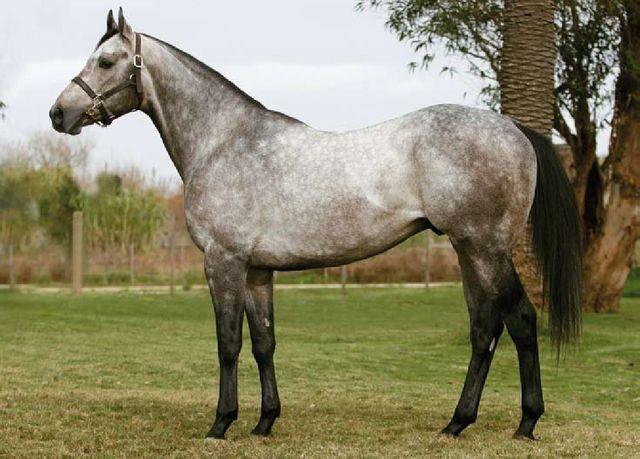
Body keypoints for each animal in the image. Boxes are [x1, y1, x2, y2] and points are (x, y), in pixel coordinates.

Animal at [50, 8, 582, 441]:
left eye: (106, 61)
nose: (59, 113)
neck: (223, 142)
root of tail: (512, 127)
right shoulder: (257, 271)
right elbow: (264, 343)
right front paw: (265, 422)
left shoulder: (223, 262)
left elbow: (228, 343)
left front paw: (221, 423)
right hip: (467, 251)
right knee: (484, 329)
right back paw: (456, 423)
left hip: (486, 249)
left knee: (521, 320)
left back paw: (526, 423)